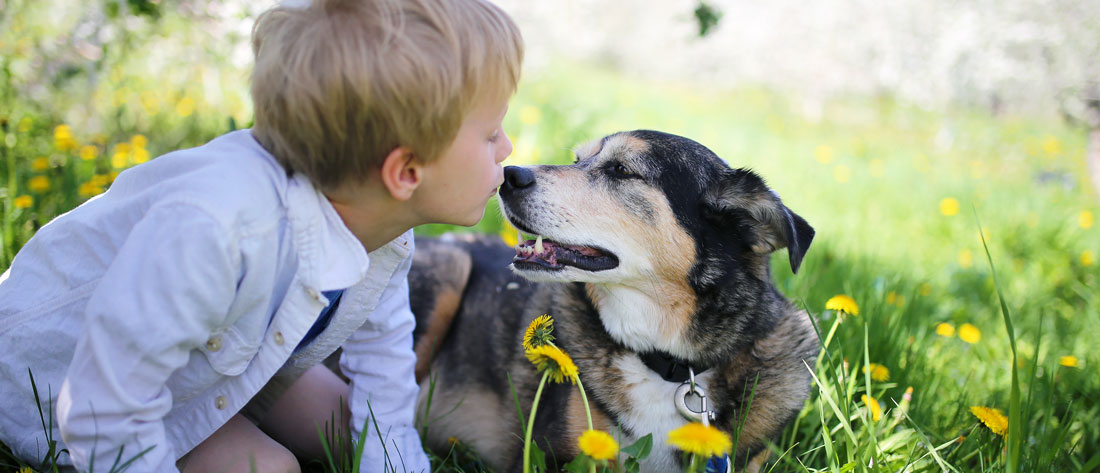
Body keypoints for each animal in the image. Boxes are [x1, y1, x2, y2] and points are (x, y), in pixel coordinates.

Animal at [411, 130, 818, 473]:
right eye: (577, 159)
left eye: (621, 170)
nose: (508, 175)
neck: (667, 366)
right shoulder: (544, 458)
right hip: (450, 268)